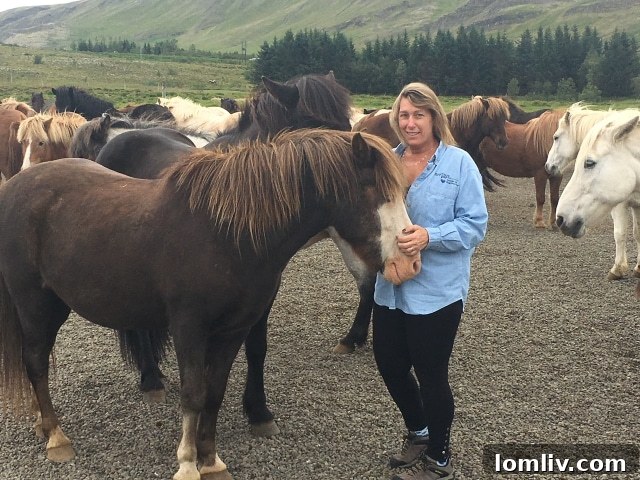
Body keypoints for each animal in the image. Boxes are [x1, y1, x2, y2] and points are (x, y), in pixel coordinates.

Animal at [0, 129, 419, 480]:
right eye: (374, 192)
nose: (410, 262)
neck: (227, 233)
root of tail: (16, 186)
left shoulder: (233, 330)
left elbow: (214, 392)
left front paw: (211, 459)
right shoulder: (189, 328)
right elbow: (194, 393)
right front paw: (187, 464)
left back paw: (41, 422)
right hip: (36, 302)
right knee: (35, 361)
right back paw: (56, 437)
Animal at [546, 102, 640, 279]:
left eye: (556, 137)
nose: (548, 166)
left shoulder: (620, 205)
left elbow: (620, 233)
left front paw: (617, 269)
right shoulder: (636, 205)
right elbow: (637, 234)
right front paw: (638, 267)